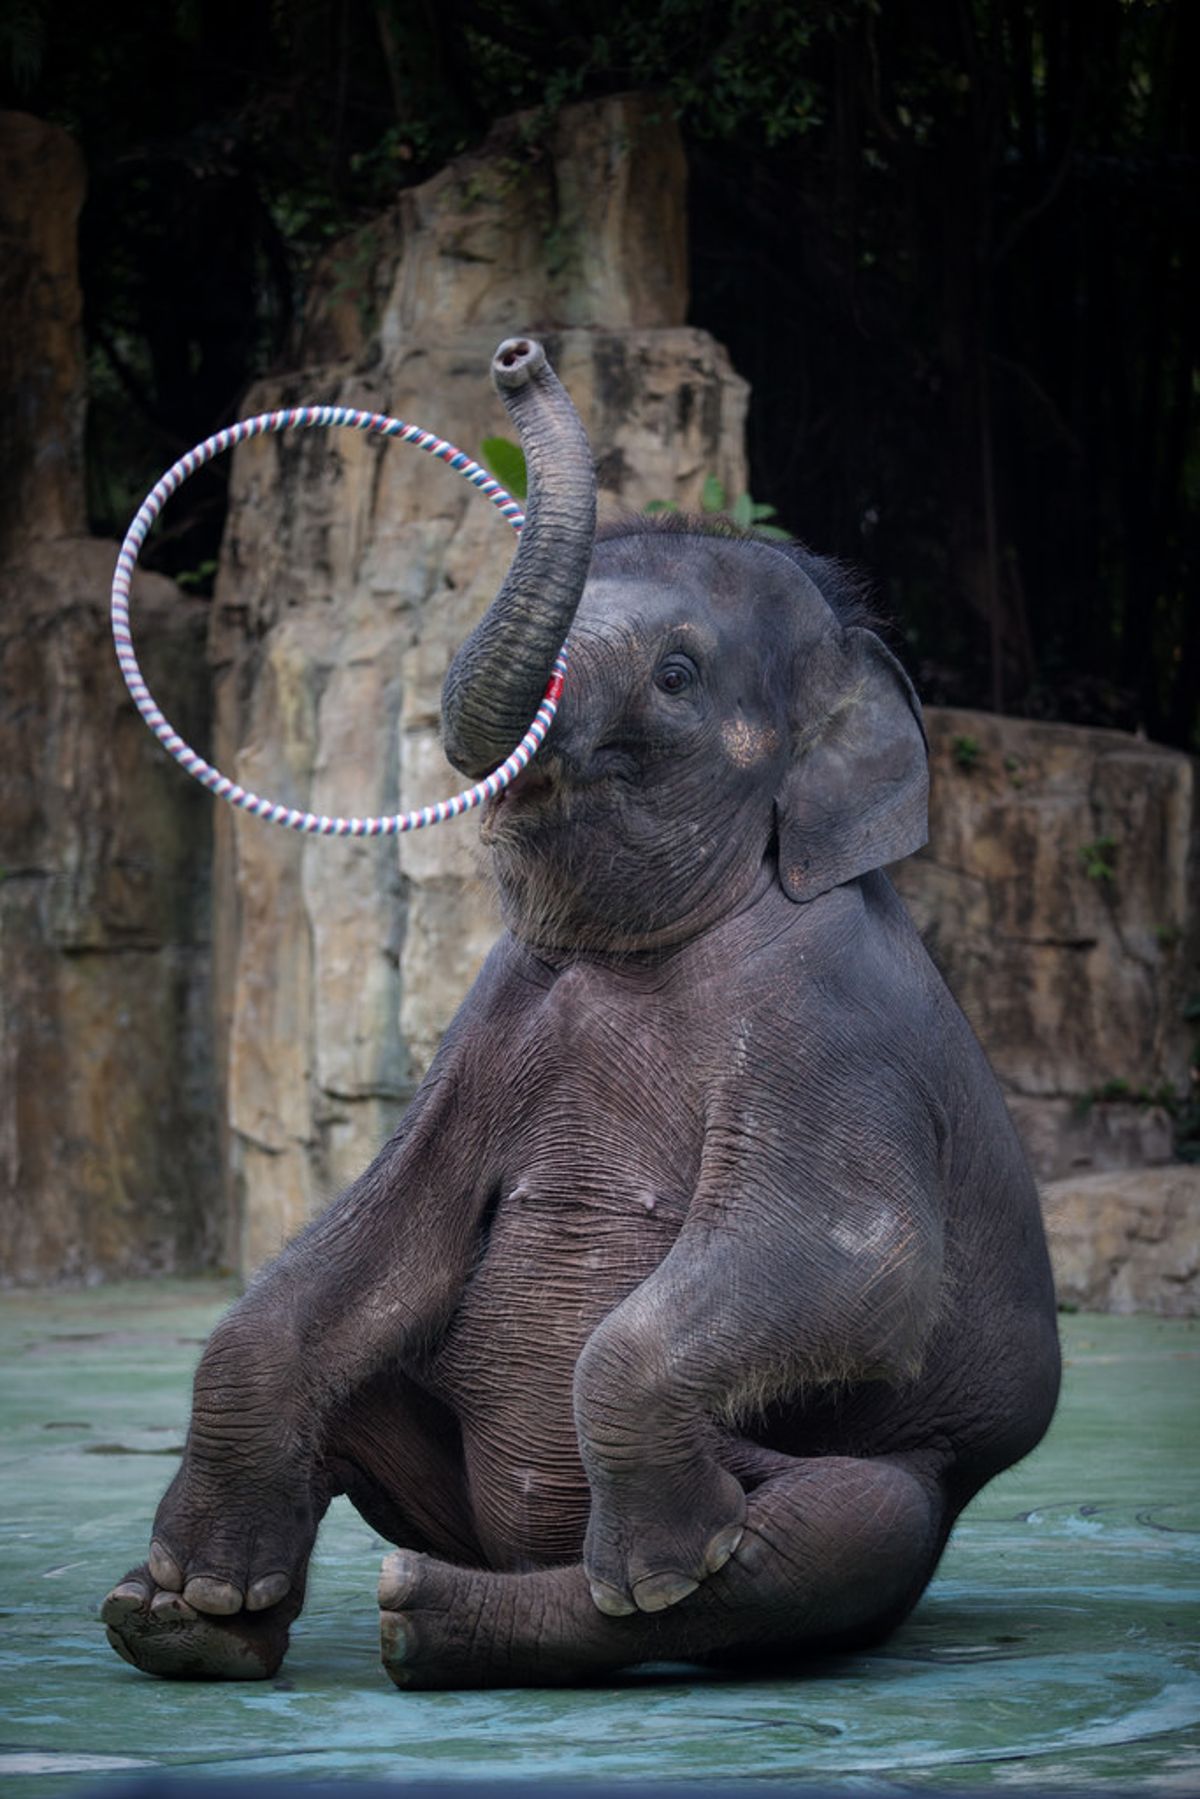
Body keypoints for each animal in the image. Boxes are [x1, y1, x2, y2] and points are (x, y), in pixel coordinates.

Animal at [101, 337, 1060, 1690]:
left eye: (677, 675)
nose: (517, 353)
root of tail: (513, 1547)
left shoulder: (836, 1016)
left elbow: (850, 1256)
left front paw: (661, 1561)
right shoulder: (491, 1015)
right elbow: (382, 1234)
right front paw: (193, 1585)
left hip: (900, 1482)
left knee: (840, 1531)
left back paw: (477, 1607)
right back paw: (182, 1624)